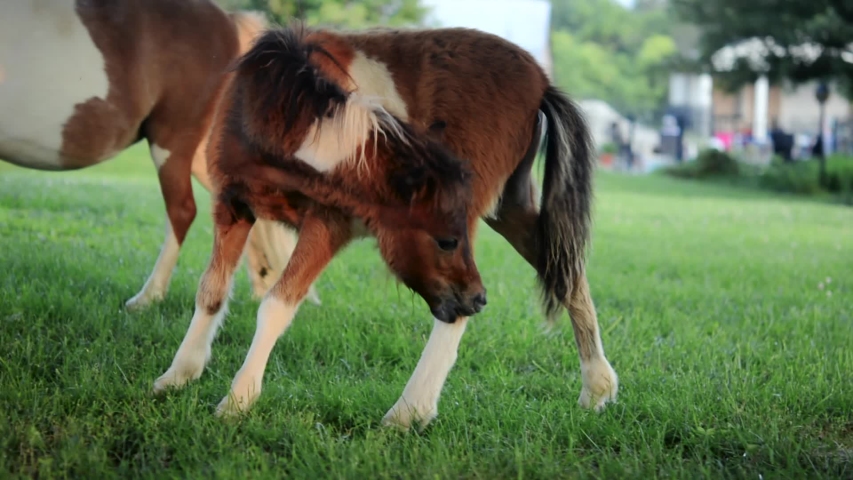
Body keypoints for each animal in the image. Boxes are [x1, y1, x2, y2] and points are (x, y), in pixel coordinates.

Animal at [154, 25, 619, 430]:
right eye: (445, 241)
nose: (479, 299)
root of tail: (541, 80)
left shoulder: (328, 223)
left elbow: (277, 305)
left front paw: (237, 400)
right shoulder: (232, 204)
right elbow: (211, 291)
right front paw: (178, 375)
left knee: (469, 311)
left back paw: (408, 412)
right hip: (507, 208)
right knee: (564, 268)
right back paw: (597, 389)